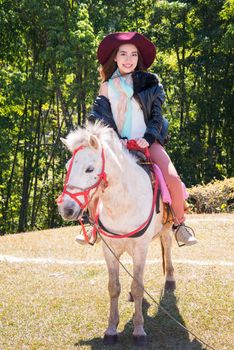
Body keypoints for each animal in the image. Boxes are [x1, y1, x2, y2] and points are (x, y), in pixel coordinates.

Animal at [57, 121, 175, 346]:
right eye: (68, 167)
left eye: (89, 168)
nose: (66, 209)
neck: (123, 203)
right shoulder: (109, 249)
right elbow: (114, 287)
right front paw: (111, 330)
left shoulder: (140, 249)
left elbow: (138, 286)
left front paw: (139, 331)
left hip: (167, 228)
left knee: (168, 246)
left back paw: (171, 279)